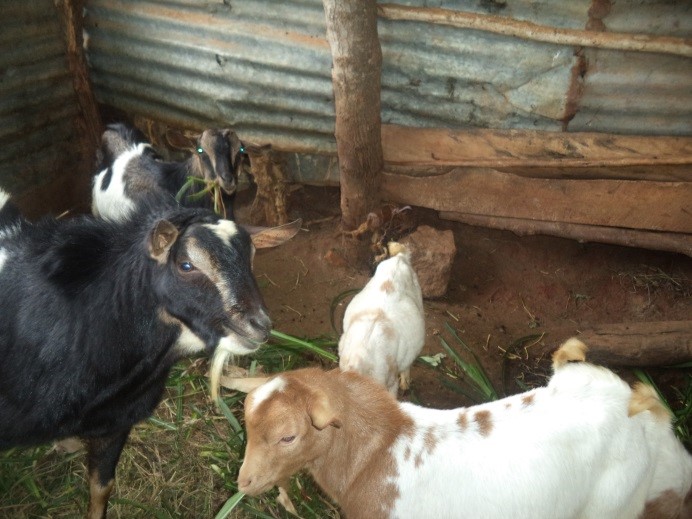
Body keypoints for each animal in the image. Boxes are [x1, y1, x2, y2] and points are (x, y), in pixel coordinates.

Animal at [232, 338, 692, 519]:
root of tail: (638, 408)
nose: (244, 482)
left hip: (612, 504)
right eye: (248, 424)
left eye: (289, 436)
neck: (378, 455)